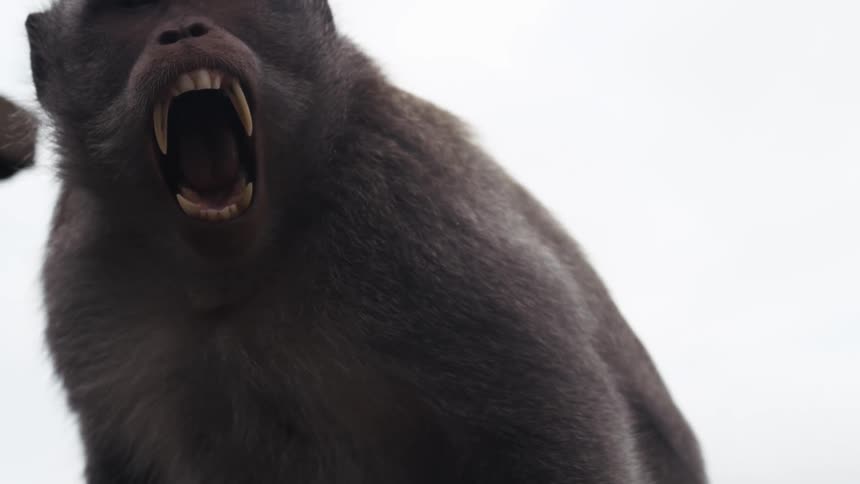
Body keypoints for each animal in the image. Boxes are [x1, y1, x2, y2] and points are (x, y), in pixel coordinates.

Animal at [26, 1, 707, 483]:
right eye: (129, 11)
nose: (185, 31)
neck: (232, 273)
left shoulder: (417, 212)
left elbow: (553, 426)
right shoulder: (83, 278)